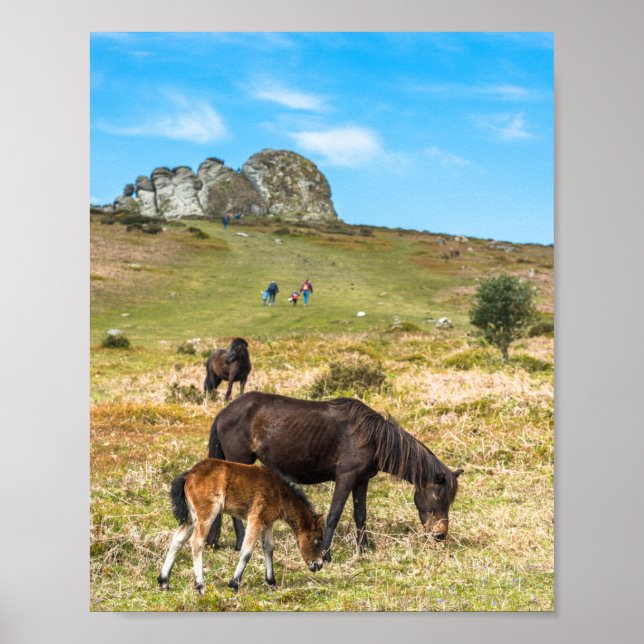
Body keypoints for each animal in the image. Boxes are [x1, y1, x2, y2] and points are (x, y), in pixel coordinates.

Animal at [158, 458, 325, 594]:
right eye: (317, 541)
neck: (279, 493)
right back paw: (201, 586)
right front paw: (234, 583)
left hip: (192, 517)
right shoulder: (256, 518)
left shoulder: (267, 522)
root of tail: (189, 474)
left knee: (178, 539)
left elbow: (269, 548)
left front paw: (271, 582)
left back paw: (164, 581)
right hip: (207, 514)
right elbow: (247, 550)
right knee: (197, 542)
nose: (319, 564)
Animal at [205, 392, 464, 561]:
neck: (372, 437)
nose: (440, 535)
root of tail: (224, 412)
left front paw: (363, 549)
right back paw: (241, 543)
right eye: (438, 499)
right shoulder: (345, 478)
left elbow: (360, 516)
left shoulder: (361, 481)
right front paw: (326, 554)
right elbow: (334, 515)